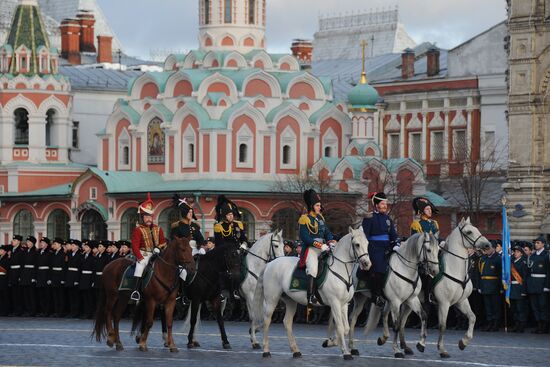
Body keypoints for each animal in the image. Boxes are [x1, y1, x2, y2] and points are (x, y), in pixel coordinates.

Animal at [253, 229, 374, 360]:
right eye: (357, 244)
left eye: (367, 243)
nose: (367, 264)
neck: (340, 269)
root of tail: (270, 263)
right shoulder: (335, 303)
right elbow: (341, 327)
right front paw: (345, 352)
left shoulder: (344, 304)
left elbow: (346, 328)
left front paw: (331, 342)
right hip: (272, 300)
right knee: (267, 321)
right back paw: (266, 351)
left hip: (290, 301)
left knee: (287, 322)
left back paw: (295, 350)